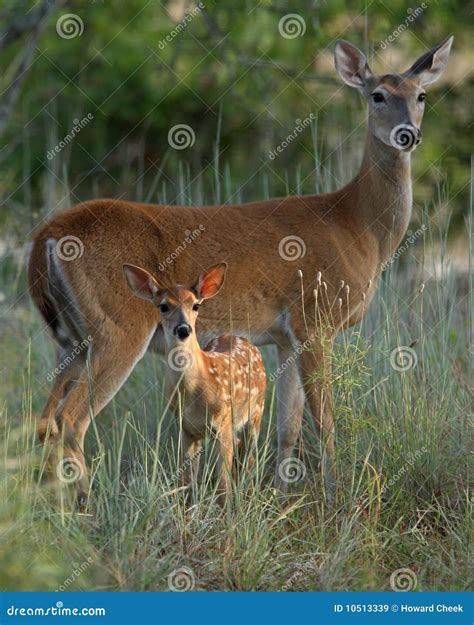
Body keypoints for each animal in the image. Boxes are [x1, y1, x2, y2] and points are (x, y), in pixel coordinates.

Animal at [28, 36, 452, 510]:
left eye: (421, 95)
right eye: (377, 95)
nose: (407, 134)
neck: (357, 227)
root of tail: (45, 237)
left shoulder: (284, 336)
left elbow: (288, 426)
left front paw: (282, 495)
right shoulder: (314, 318)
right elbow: (323, 419)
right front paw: (335, 495)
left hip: (68, 338)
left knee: (45, 418)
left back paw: (50, 506)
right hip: (117, 326)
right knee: (71, 418)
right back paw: (85, 506)